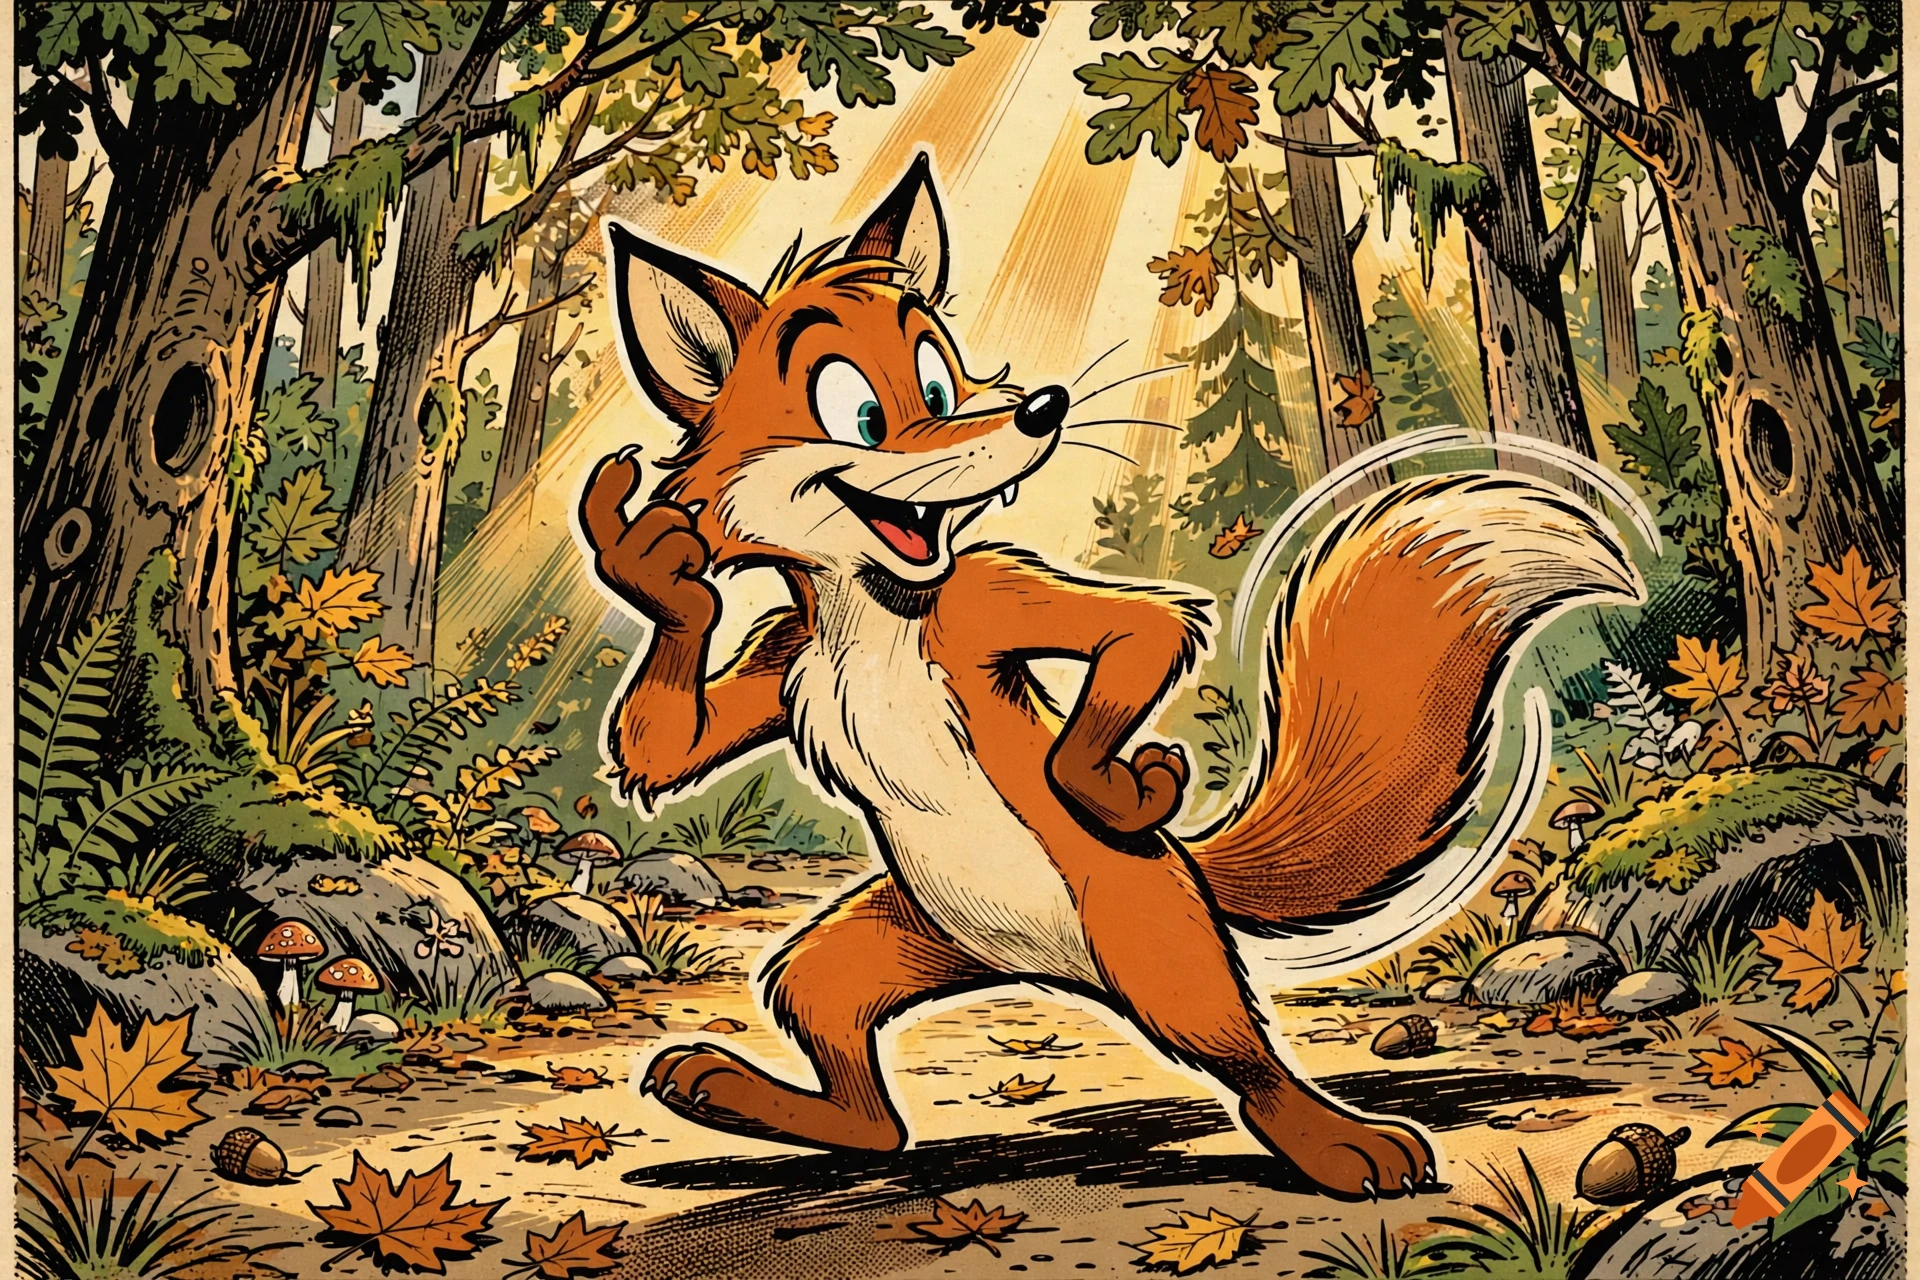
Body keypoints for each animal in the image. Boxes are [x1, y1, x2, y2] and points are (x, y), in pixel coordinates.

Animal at [580, 151, 1642, 1200]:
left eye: (939, 380)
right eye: (861, 414)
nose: (1039, 408)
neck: (870, 607)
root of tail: (1050, 968)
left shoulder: (988, 597)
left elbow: (1136, 641)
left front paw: (1127, 789)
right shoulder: (783, 652)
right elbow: (668, 748)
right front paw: (648, 563)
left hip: (1155, 948)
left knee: (1250, 1068)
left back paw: (1346, 1145)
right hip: (888, 939)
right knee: (871, 1111)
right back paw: (719, 1088)